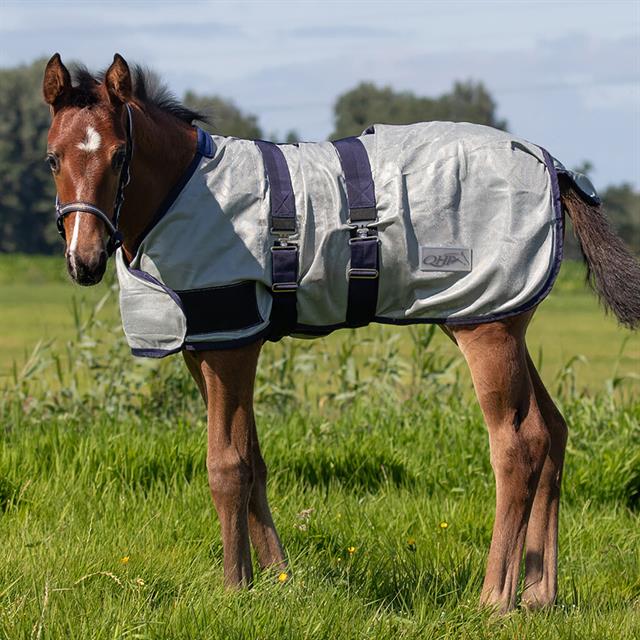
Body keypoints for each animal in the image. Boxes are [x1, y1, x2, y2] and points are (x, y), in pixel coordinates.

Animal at [42, 52, 636, 612]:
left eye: (121, 155)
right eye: (52, 158)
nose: (84, 261)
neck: (187, 191)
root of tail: (552, 165)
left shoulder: (233, 346)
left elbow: (227, 465)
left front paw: (234, 588)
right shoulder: (206, 346)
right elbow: (253, 460)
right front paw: (277, 578)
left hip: (486, 330)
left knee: (518, 445)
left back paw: (495, 600)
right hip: (497, 316)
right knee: (552, 430)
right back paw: (538, 596)